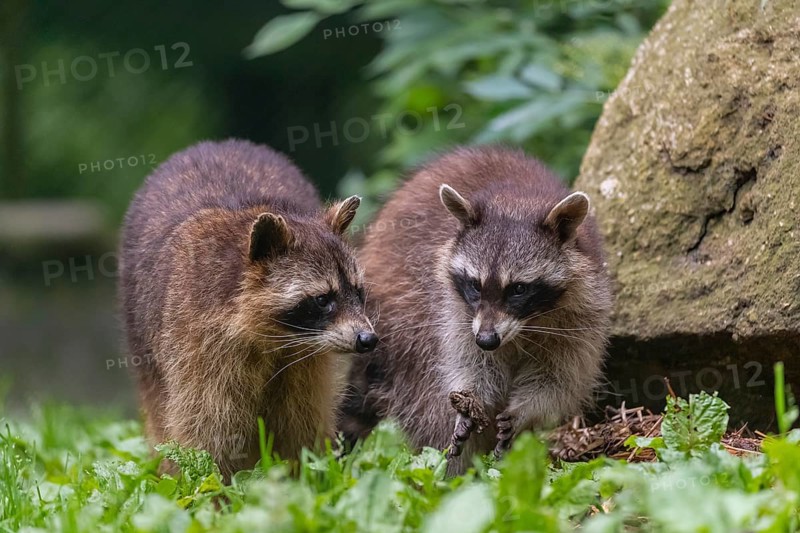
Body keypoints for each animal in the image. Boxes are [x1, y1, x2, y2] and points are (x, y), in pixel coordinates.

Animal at [120, 139, 378, 480]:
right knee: (160, 409)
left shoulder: (306, 362)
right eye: (323, 299)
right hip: (141, 328)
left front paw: (305, 475)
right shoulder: (198, 340)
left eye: (357, 292)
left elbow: (301, 418)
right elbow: (207, 424)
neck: (277, 338)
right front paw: (214, 486)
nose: (367, 339)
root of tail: (218, 144)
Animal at [341, 146, 611, 474]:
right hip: (399, 325)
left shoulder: (582, 314)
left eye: (518, 289)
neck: (516, 200)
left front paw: (526, 410)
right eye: (475, 285)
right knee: (426, 394)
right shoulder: (454, 310)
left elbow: (559, 380)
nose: (487, 340)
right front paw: (470, 404)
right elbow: (467, 364)